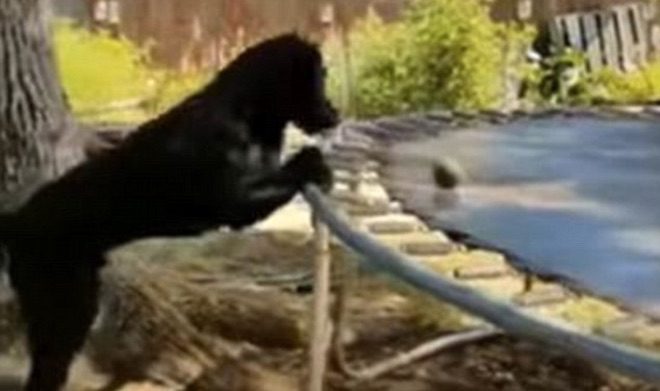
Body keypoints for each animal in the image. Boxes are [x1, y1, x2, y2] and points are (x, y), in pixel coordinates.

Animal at [0, 34, 338, 391]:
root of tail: (16, 221)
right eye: (319, 78)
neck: (248, 113)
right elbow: (289, 173)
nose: (336, 112)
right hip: (63, 308)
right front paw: (313, 163)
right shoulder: (232, 202)